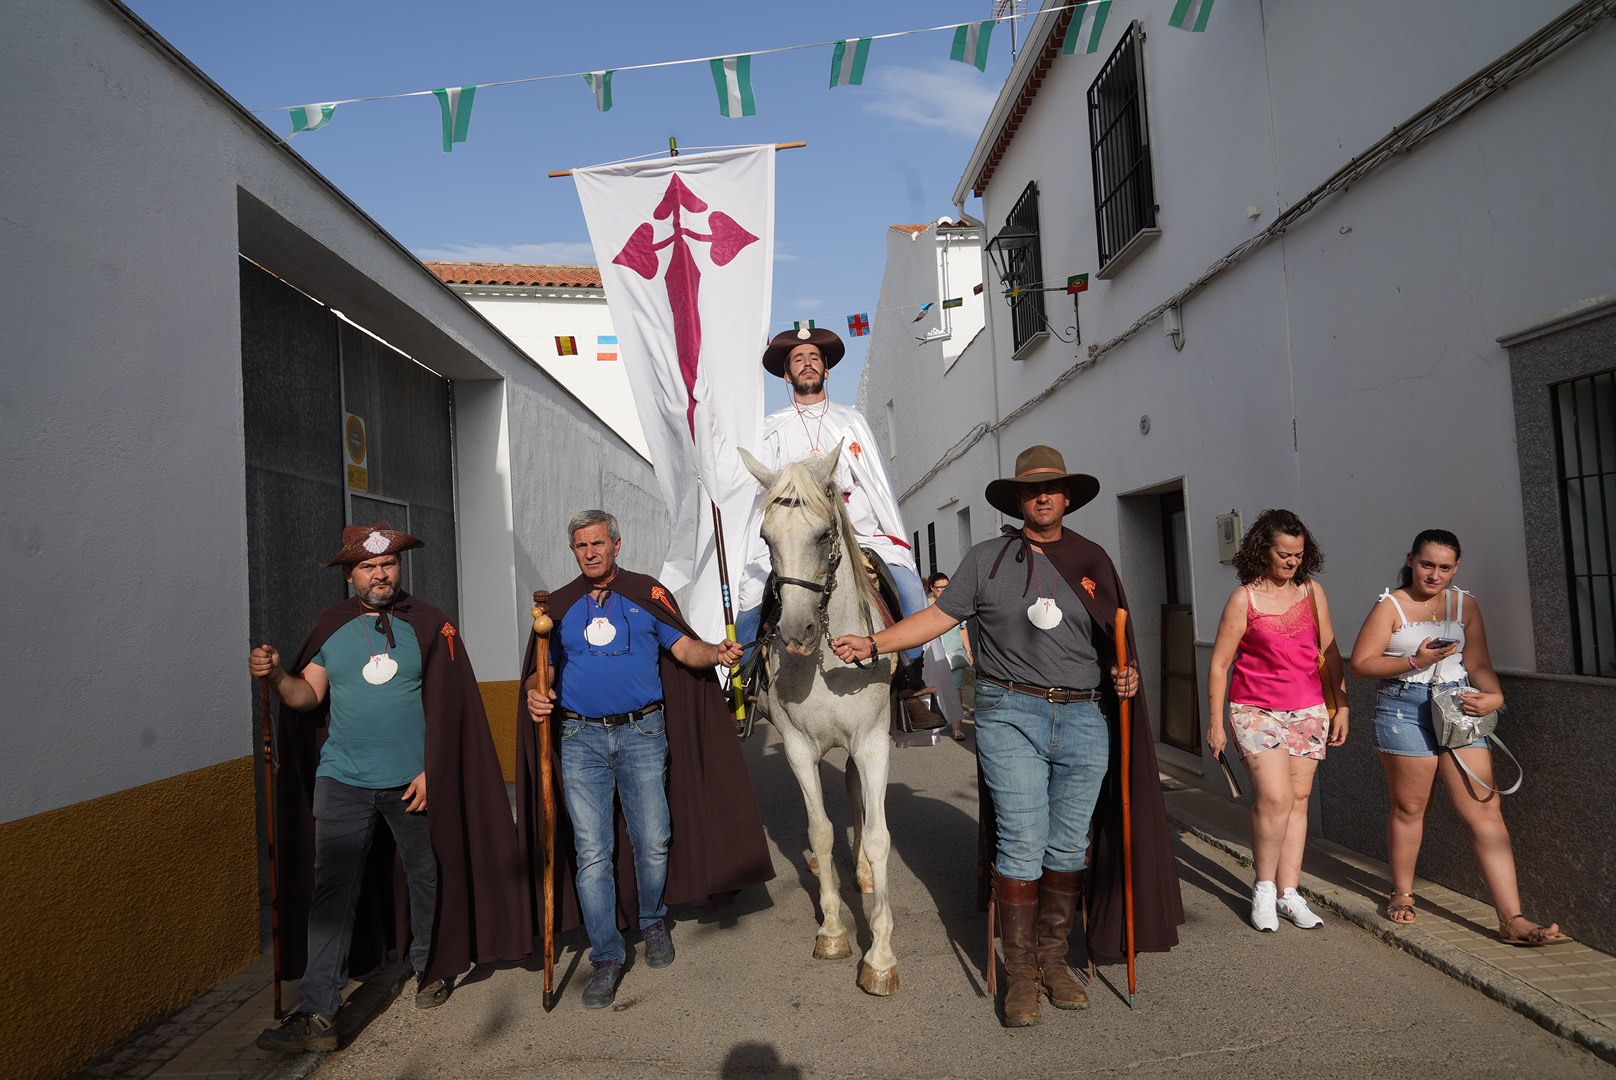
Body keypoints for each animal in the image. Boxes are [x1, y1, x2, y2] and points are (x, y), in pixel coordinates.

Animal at [740, 446, 904, 995]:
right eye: (766, 538)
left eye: (823, 534)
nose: (796, 632)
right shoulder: (796, 746)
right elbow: (821, 832)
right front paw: (833, 931)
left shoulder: (872, 742)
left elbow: (876, 836)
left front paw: (880, 956)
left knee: (859, 800)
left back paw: (866, 876)